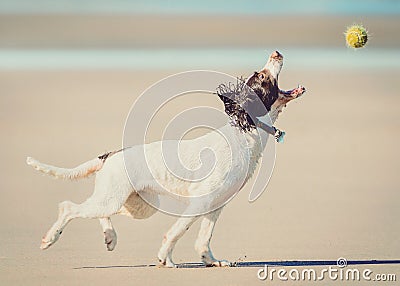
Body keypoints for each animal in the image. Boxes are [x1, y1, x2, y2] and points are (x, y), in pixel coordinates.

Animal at [26, 50, 304, 268]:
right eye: (262, 76)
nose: (276, 52)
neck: (244, 130)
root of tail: (110, 154)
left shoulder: (216, 205)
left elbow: (204, 239)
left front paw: (211, 261)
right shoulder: (201, 201)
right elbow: (176, 232)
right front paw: (165, 260)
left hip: (133, 205)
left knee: (97, 213)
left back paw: (110, 238)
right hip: (113, 199)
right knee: (68, 207)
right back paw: (51, 238)